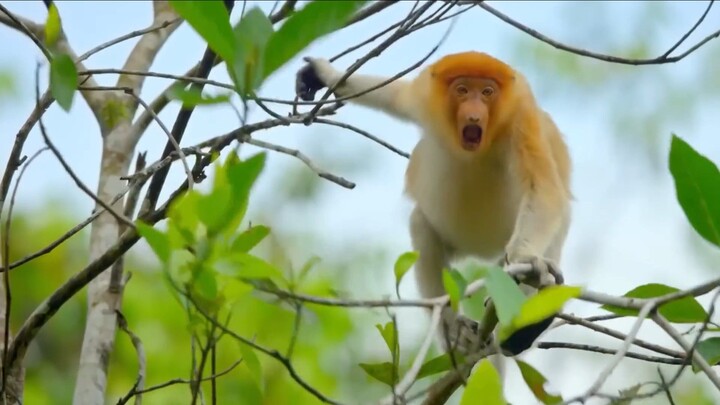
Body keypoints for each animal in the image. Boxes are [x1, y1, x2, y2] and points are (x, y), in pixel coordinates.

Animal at [295, 51, 572, 356]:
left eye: (487, 92)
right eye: (462, 90)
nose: (474, 113)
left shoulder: (522, 120)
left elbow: (543, 190)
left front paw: (525, 258)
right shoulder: (425, 97)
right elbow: (395, 96)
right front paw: (323, 75)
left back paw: (522, 328)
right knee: (421, 226)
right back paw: (455, 328)